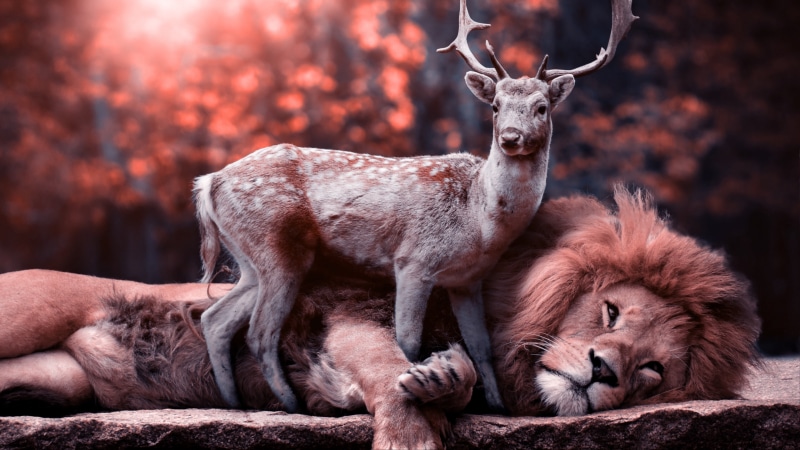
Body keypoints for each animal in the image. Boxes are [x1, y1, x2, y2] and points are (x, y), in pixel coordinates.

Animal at [0, 188, 761, 448]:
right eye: (609, 310)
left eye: (652, 371)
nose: (604, 370)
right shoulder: (351, 313)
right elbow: (391, 375)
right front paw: (411, 429)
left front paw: (444, 376)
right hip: (24, 311)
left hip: (65, 377)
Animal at [193, 0, 637, 413]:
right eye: (495, 106)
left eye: (541, 107)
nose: (510, 137)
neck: (480, 222)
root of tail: (208, 182)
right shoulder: (413, 260)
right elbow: (407, 339)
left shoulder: (467, 279)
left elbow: (482, 345)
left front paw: (496, 406)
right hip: (277, 247)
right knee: (259, 332)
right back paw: (292, 404)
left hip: (251, 259)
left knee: (215, 320)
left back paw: (234, 402)